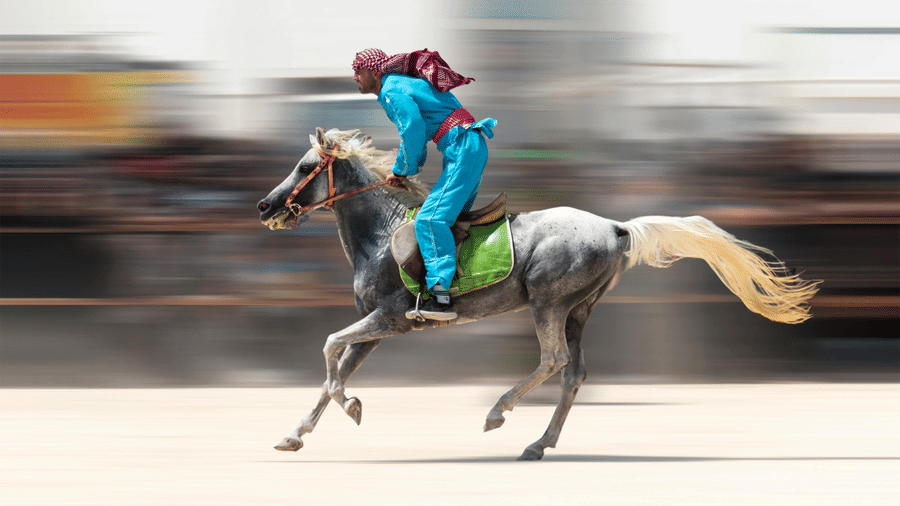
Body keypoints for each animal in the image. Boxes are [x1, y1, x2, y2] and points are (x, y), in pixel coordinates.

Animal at [256, 128, 820, 461]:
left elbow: (329, 348)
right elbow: (332, 369)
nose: (265, 206)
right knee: (573, 373)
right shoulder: (375, 330)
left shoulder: (391, 320)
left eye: (305, 167)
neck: (379, 235)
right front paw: (295, 433)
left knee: (553, 360)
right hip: (579, 309)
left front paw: (351, 406)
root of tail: (614, 225)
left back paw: (498, 413)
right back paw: (539, 442)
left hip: (548, 301)